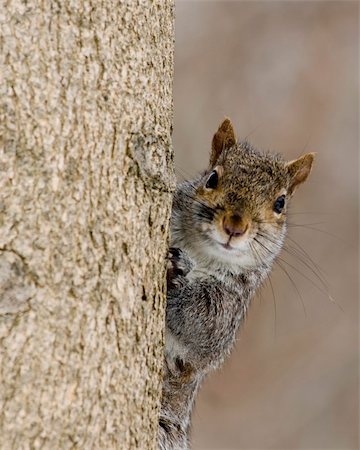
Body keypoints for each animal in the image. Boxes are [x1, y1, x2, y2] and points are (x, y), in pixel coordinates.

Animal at [159, 118, 314, 448]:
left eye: (280, 203)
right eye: (212, 178)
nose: (235, 226)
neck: (201, 254)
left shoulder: (227, 311)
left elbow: (201, 325)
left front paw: (175, 274)